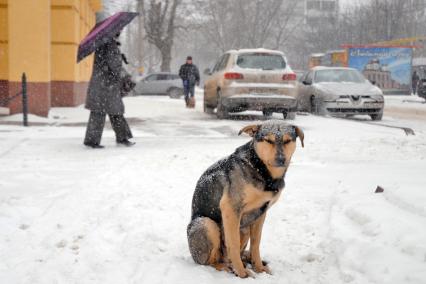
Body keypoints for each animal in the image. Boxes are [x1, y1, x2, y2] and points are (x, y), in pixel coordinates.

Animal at [186, 119, 302, 278]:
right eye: (268, 140)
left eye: (287, 141)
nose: (281, 159)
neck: (262, 171)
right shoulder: (230, 208)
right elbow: (233, 244)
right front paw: (242, 273)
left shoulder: (261, 213)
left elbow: (256, 244)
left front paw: (259, 268)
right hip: (206, 224)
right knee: (212, 261)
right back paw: (230, 267)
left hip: (244, 227)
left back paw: (246, 261)